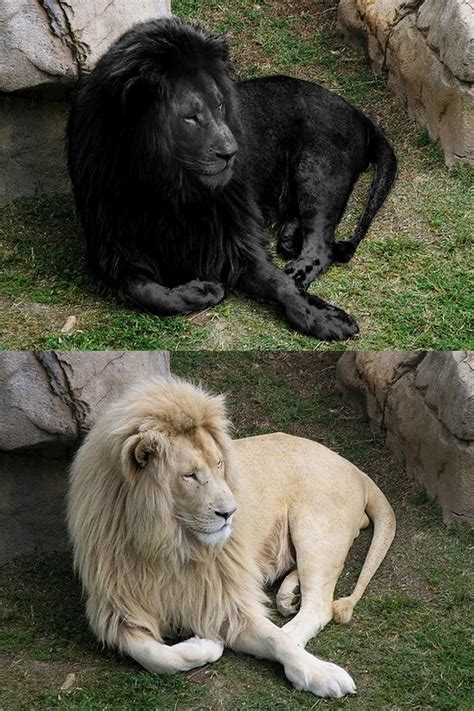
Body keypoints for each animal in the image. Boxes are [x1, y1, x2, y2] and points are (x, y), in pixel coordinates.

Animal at [67, 17, 396, 341]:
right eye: (190, 117)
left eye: (220, 105)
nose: (231, 152)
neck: (168, 190)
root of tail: (359, 113)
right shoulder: (113, 248)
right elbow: (146, 291)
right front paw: (202, 291)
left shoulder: (234, 240)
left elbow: (279, 283)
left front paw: (323, 318)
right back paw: (288, 238)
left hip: (319, 172)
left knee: (322, 247)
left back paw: (296, 271)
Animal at [68, 378, 396, 698]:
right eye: (190, 475)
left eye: (219, 464)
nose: (230, 512)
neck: (168, 546)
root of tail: (353, 467)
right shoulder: (119, 611)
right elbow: (155, 656)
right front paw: (204, 645)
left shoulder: (225, 600)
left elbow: (273, 638)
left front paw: (319, 673)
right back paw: (288, 595)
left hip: (315, 527)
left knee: (319, 606)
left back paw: (291, 628)